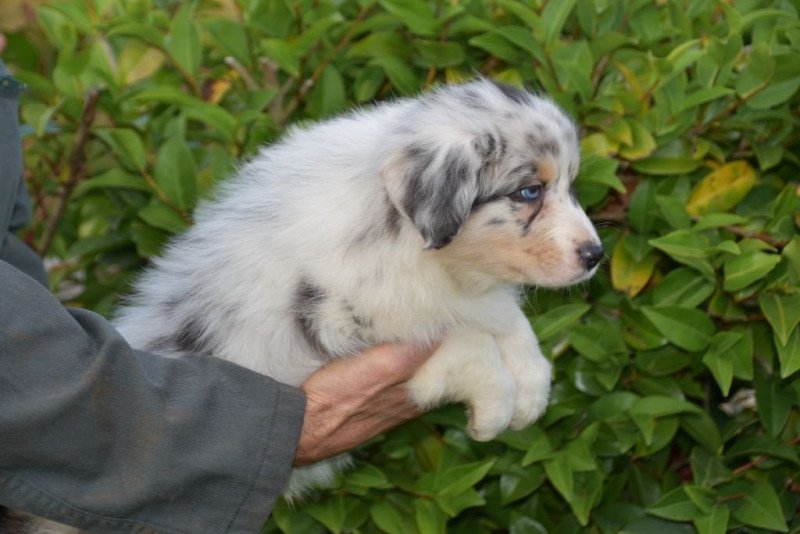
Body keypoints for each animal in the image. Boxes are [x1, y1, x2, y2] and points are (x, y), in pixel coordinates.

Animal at [112, 77, 604, 496]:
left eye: (570, 185)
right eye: (529, 191)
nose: (596, 255)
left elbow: (512, 325)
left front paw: (533, 388)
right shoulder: (340, 324)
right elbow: (464, 341)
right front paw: (497, 404)